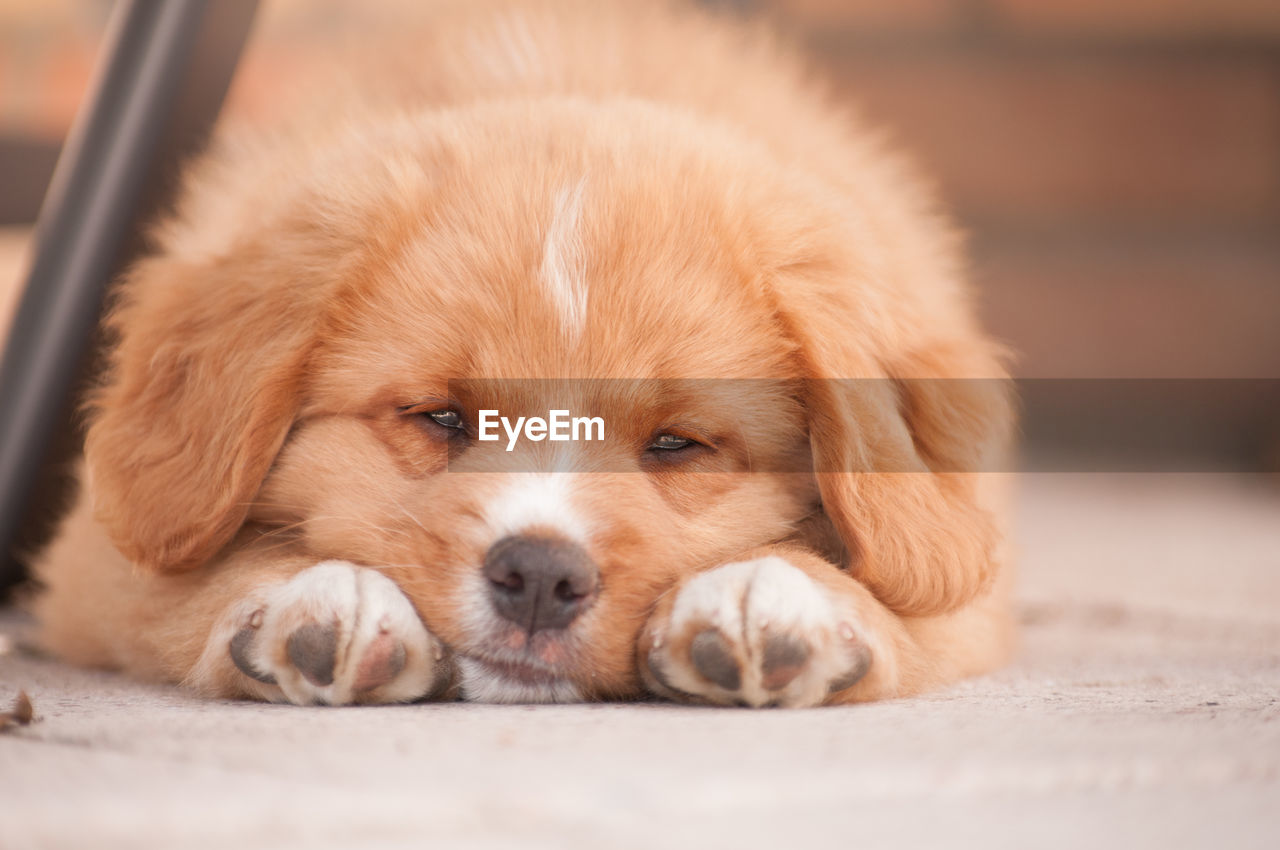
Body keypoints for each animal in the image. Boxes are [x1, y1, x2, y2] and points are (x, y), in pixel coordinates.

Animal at [30, 0, 1013, 706]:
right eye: (438, 417)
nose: (540, 576)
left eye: (676, 445)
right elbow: (203, 574)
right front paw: (322, 594)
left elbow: (891, 594)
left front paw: (771, 595)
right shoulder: (100, 560)